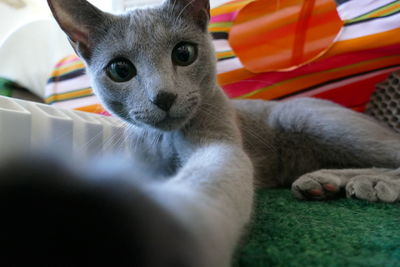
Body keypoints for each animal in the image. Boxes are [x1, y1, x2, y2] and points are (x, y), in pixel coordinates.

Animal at [43, 0, 400, 266]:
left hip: (305, 118)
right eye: (120, 69)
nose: (164, 97)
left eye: (183, 53)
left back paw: (371, 183)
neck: (162, 141)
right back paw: (324, 182)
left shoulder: (221, 142)